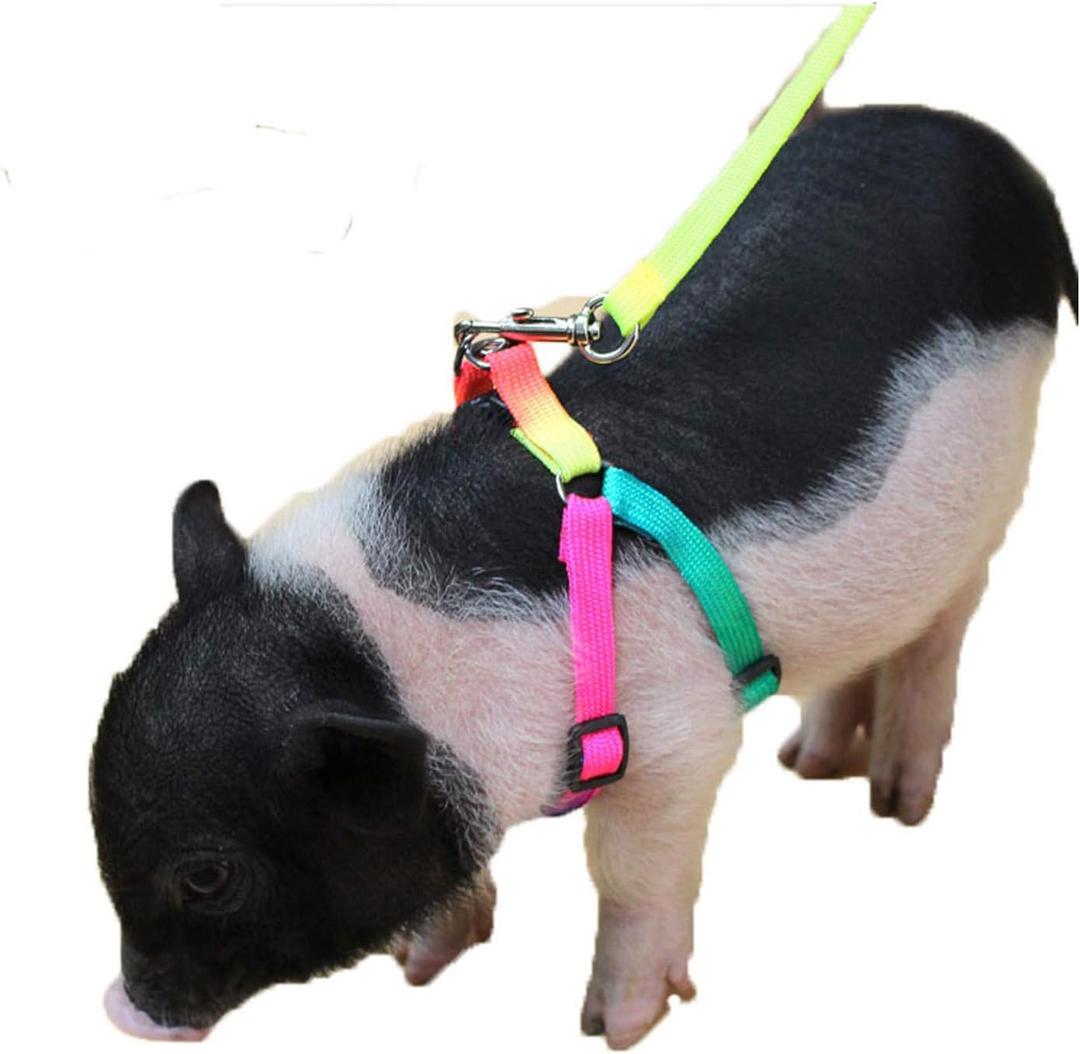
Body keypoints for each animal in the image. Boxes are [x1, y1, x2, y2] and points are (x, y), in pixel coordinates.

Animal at [90, 105, 1077, 1049]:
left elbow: (630, 873)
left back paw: (897, 805)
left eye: (207, 876)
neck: (377, 654)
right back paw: (809, 766)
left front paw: (614, 1027)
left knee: (937, 640)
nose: (122, 1013)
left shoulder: (681, 734)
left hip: (989, 504)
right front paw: (420, 967)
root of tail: (1001, 162)